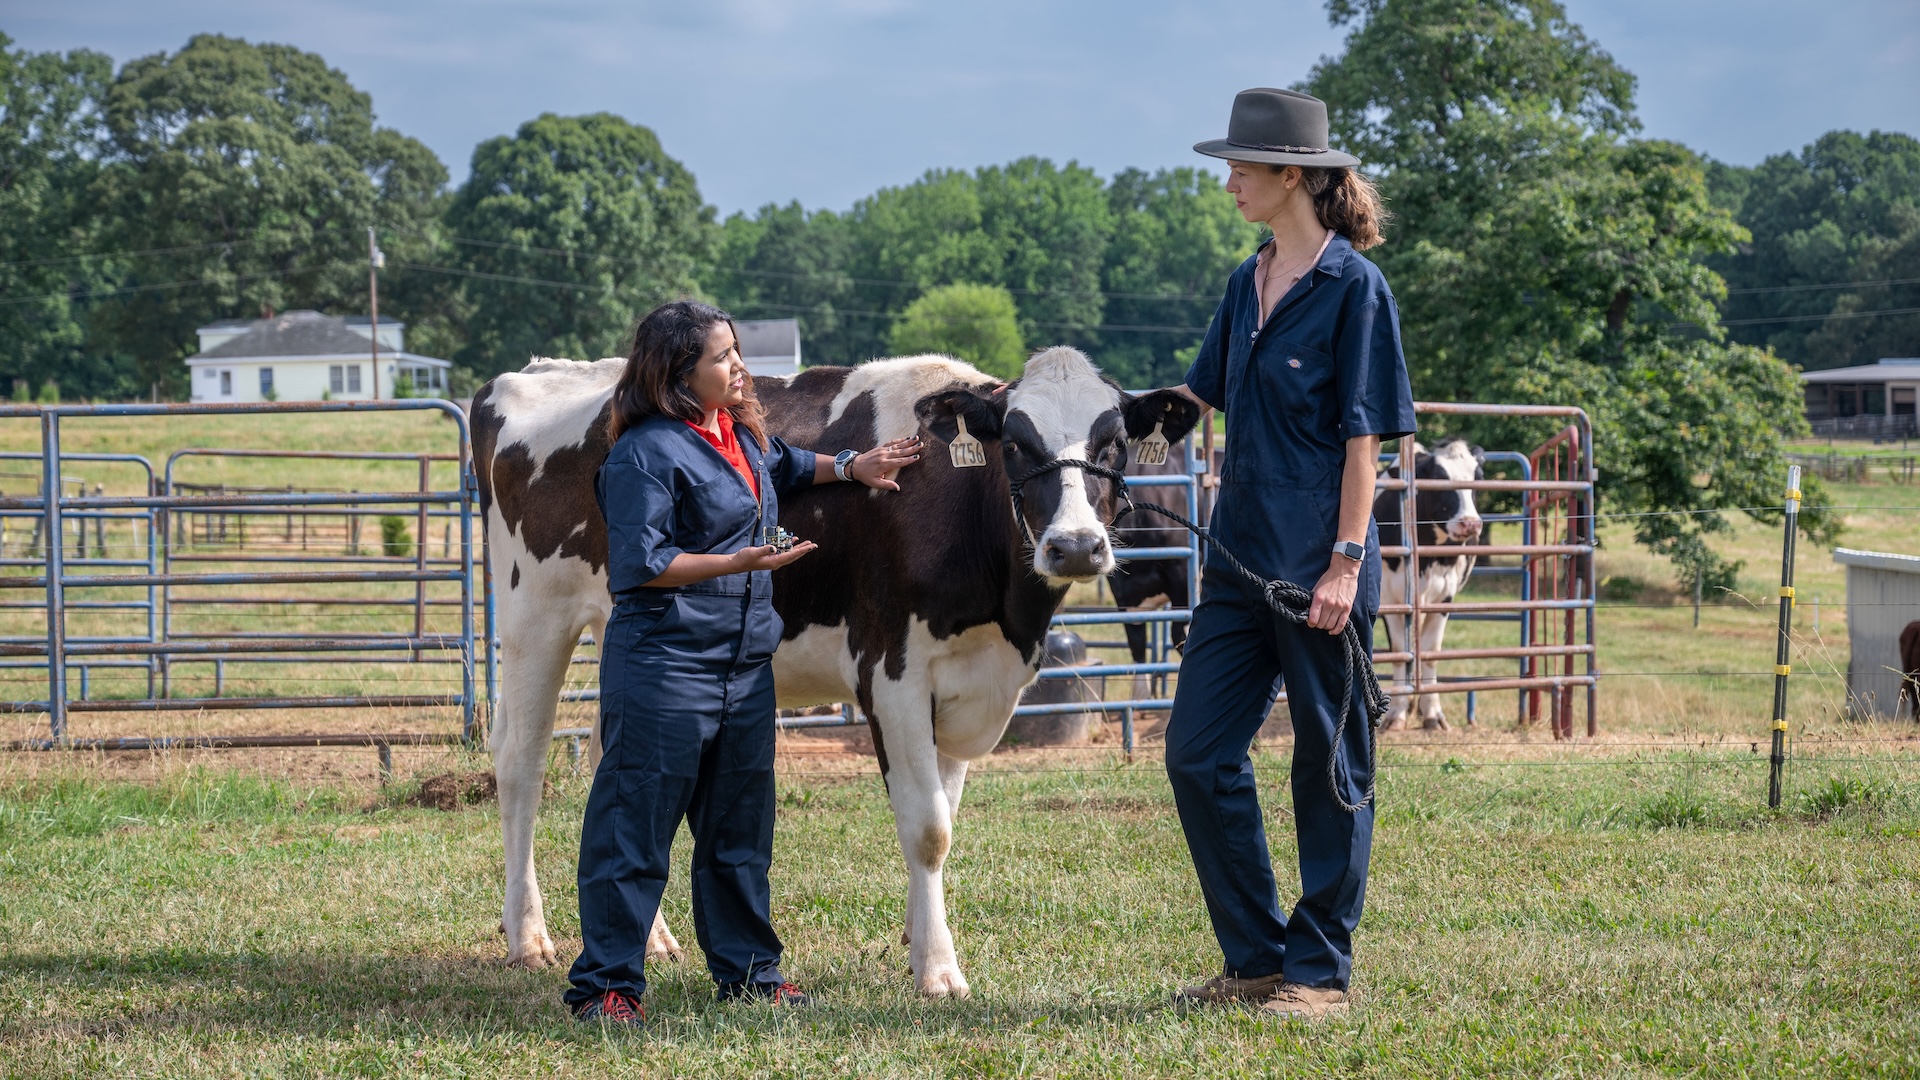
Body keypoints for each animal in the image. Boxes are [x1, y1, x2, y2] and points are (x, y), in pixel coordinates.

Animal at [476, 343, 1198, 991]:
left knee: (624, 763)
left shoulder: (967, 680)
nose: (1075, 546)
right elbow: (928, 826)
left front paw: (916, 935)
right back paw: (527, 936)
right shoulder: (892, 671)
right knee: (521, 762)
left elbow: (946, 809)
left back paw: (652, 940)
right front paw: (938, 969)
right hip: (534, 614)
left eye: (1113, 443)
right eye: (1017, 443)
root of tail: (537, 373)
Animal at [1374, 438, 1489, 730]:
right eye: (1439, 479)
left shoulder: (1444, 597)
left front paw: (1432, 713)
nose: (1470, 524)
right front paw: (1398, 714)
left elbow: (1431, 652)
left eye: (1478, 478)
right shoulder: (1390, 599)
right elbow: (1400, 652)